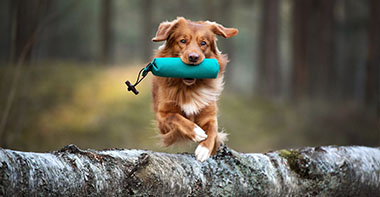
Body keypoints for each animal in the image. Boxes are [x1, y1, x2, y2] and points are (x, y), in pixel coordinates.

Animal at [151, 16, 238, 162]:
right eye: (183, 41)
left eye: (203, 43)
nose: (193, 57)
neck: (189, 88)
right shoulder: (162, 118)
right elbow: (175, 117)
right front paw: (196, 131)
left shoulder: (209, 115)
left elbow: (213, 130)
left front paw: (204, 149)